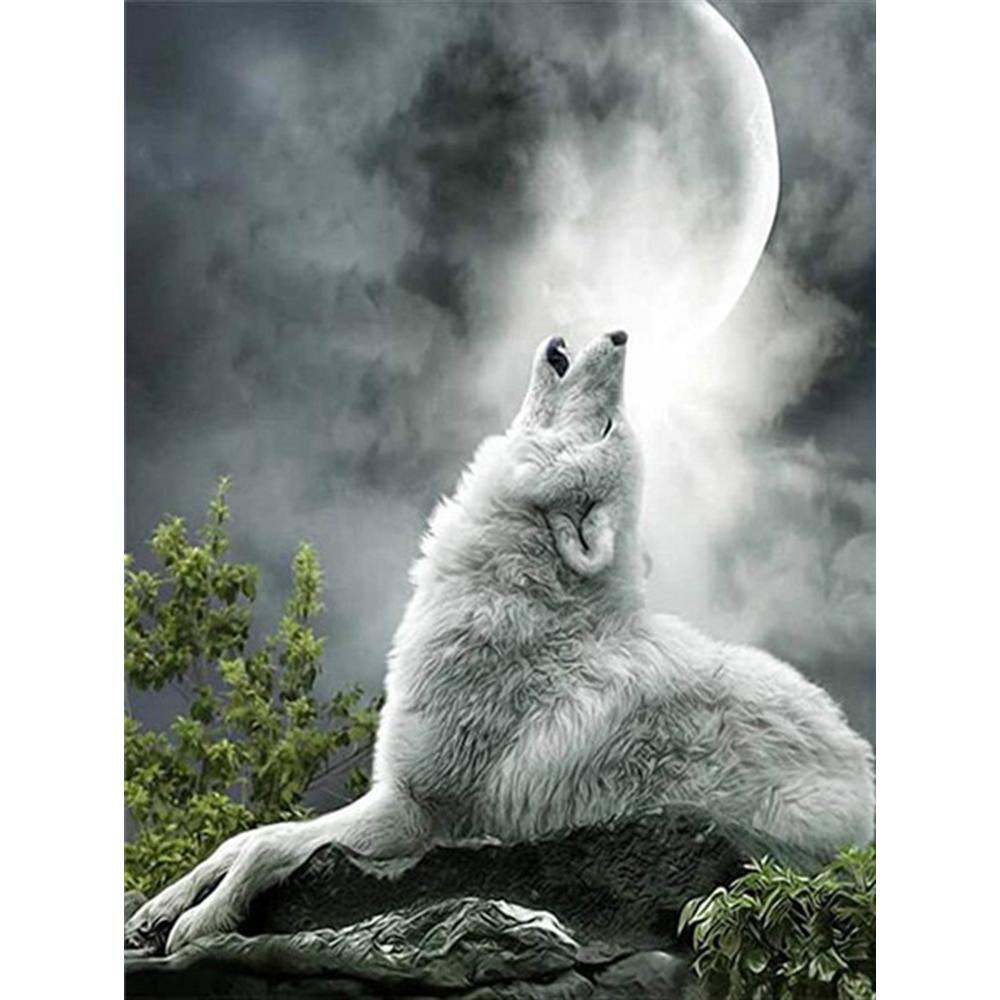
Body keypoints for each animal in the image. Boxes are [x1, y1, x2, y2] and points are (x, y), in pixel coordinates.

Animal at [127, 330, 874, 954]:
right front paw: (157, 907)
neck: (519, 591)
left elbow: (269, 848)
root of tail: (862, 765)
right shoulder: (390, 796)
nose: (620, 335)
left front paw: (200, 922)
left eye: (609, 425)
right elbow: (245, 836)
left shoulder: (411, 812)